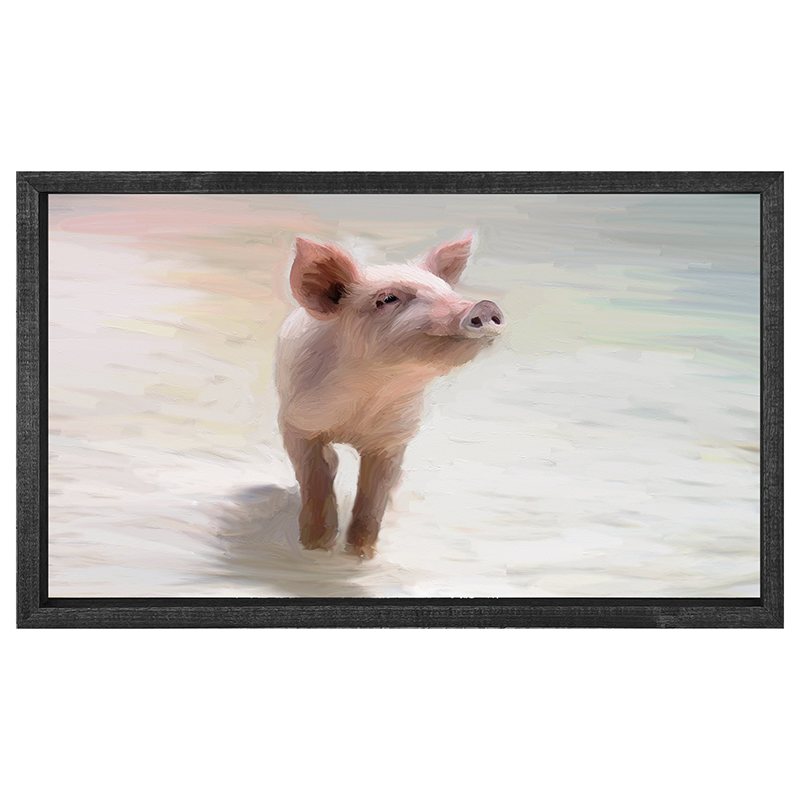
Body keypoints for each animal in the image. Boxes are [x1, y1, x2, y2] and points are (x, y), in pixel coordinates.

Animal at [275, 234, 505, 558]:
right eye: (387, 299)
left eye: (447, 290)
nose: (483, 305)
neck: (372, 393)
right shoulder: (296, 423)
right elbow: (314, 479)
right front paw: (316, 547)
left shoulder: (394, 436)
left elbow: (375, 495)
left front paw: (360, 555)